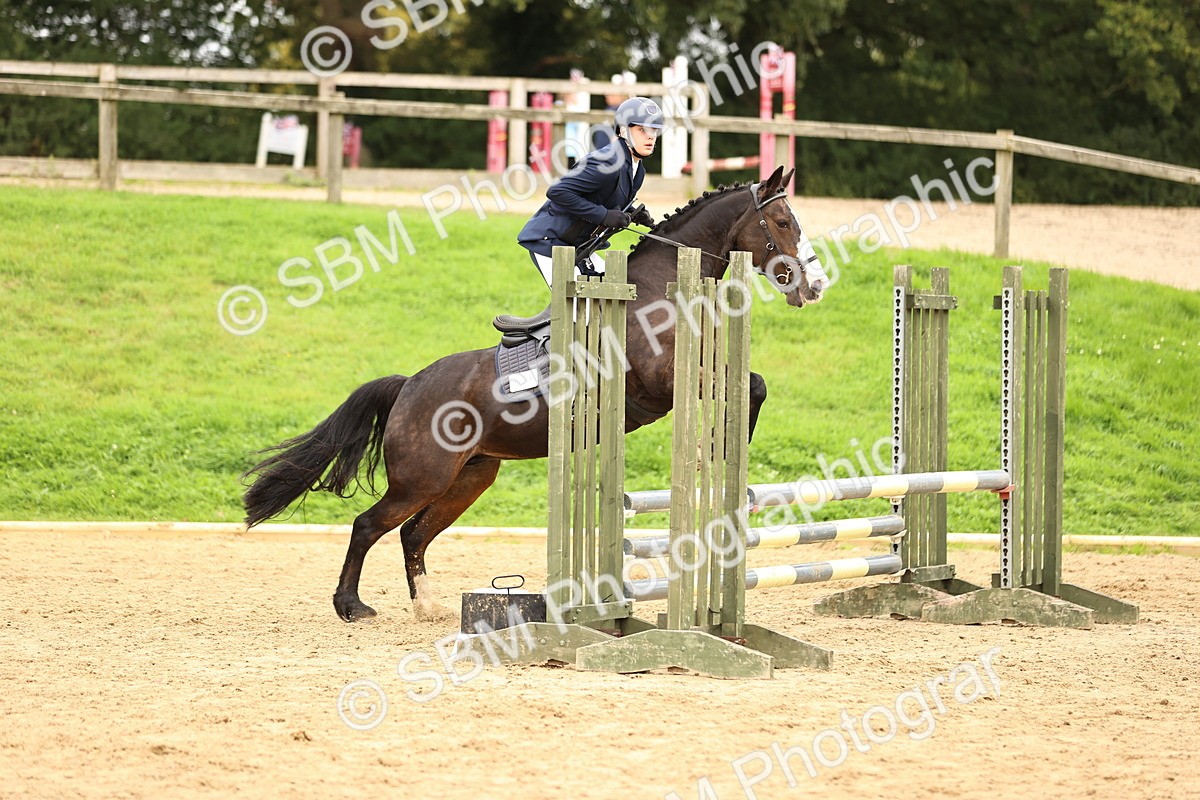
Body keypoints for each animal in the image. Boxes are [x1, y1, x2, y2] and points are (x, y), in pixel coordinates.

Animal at [242, 166, 828, 622]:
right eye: (782, 223)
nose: (814, 287)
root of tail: (407, 385)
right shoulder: (660, 382)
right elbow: (745, 386)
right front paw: (718, 449)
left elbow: (752, 383)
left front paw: (725, 450)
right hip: (422, 477)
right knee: (369, 526)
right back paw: (350, 606)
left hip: (470, 477)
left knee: (413, 534)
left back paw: (427, 607)